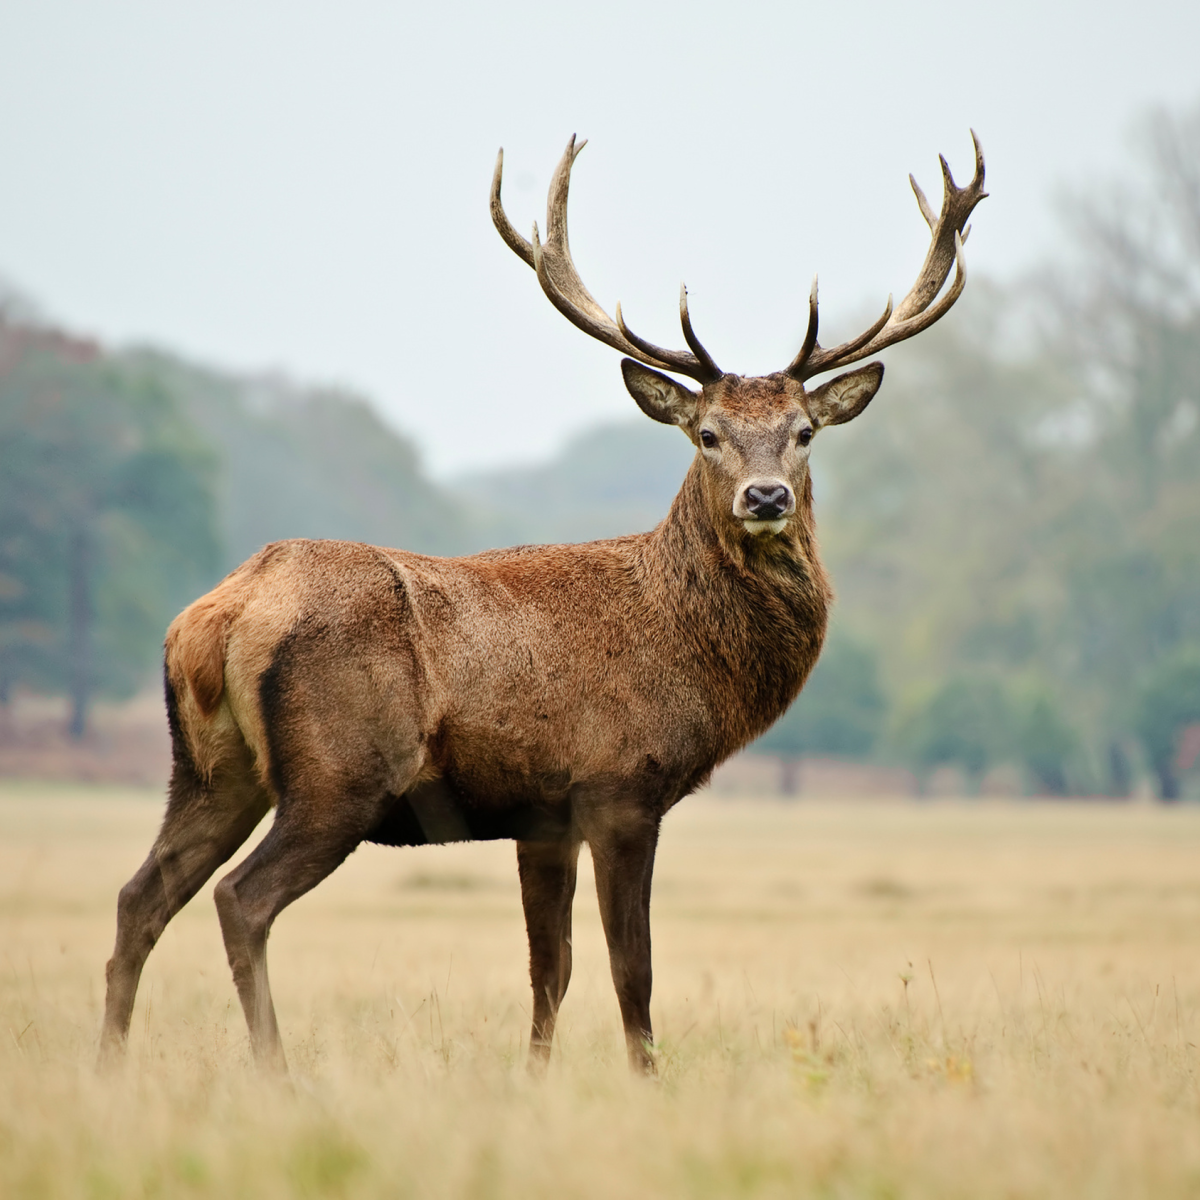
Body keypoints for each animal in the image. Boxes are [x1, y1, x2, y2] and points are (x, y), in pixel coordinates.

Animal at [99, 133, 986, 1076]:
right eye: (707, 434)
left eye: (805, 433)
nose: (767, 496)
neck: (687, 651)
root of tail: (218, 616)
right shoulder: (620, 784)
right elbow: (632, 968)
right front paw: (646, 1080)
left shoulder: (542, 815)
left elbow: (548, 969)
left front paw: (534, 1079)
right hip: (339, 773)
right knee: (241, 899)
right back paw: (276, 1072)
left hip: (210, 769)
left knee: (139, 896)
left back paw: (108, 1065)